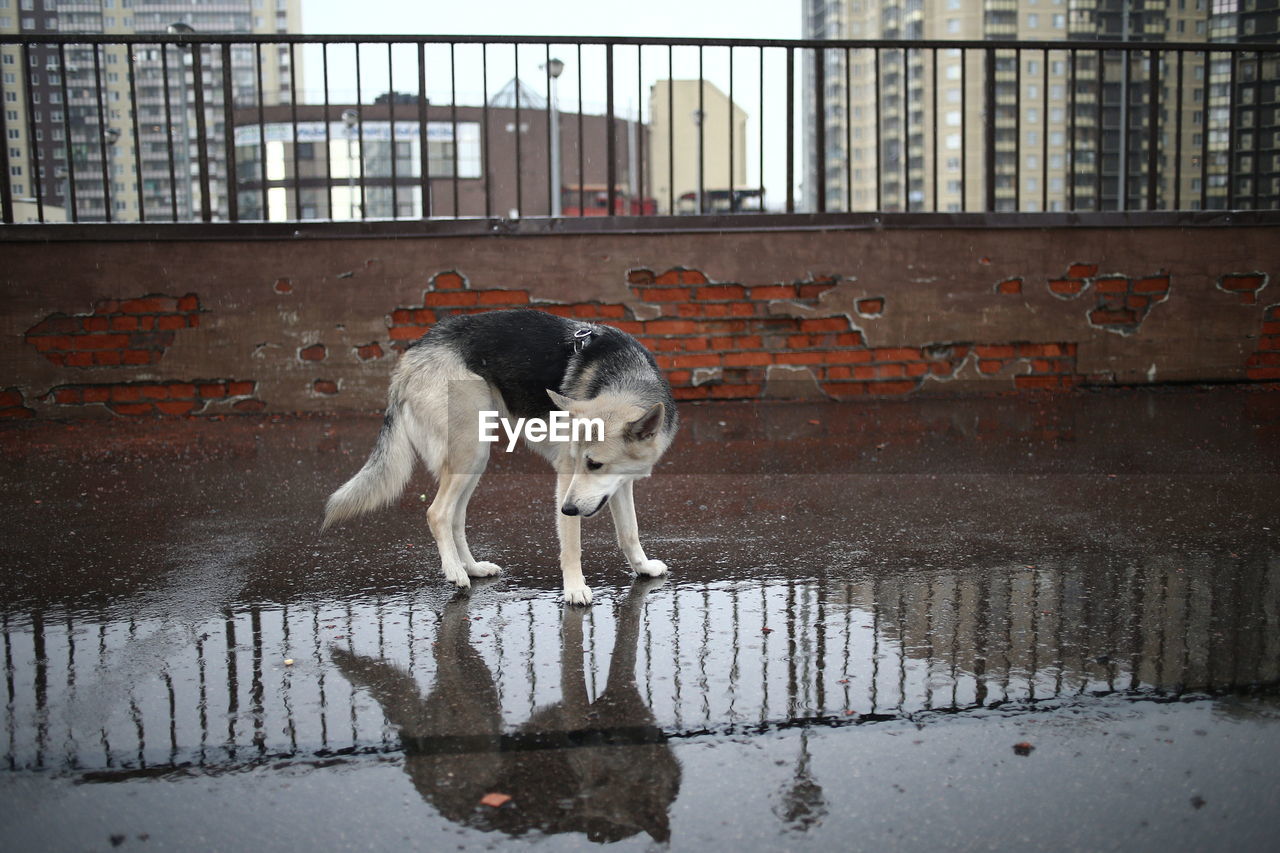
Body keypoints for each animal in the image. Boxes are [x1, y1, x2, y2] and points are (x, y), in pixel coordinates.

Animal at [325, 308, 675, 601]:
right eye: (579, 462)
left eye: (595, 464)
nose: (568, 508)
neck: (626, 379)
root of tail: (413, 354)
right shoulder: (566, 479)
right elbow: (572, 545)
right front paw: (575, 588)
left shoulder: (620, 484)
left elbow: (629, 531)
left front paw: (642, 568)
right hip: (470, 452)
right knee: (438, 513)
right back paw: (455, 572)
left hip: (475, 459)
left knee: (455, 517)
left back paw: (472, 568)